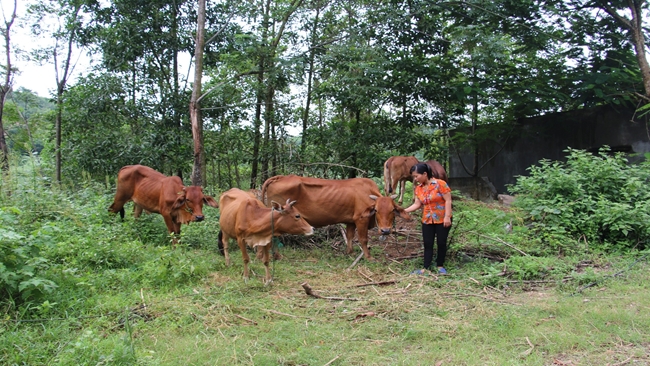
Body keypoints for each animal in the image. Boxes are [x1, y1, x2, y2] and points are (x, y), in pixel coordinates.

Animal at [260, 175, 408, 258]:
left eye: (393, 210)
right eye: (376, 210)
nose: (385, 231)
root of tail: (280, 177)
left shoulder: (351, 222)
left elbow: (349, 237)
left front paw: (349, 253)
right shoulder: (361, 220)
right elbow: (363, 239)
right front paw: (368, 257)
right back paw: (277, 256)